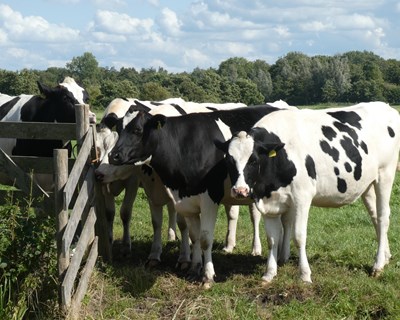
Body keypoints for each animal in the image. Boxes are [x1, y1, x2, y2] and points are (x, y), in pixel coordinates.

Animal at [108, 104, 284, 286]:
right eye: (118, 129)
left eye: (137, 130)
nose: (113, 156)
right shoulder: (186, 199)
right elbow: (194, 236)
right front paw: (194, 268)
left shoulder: (209, 199)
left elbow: (205, 238)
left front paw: (208, 275)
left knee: (259, 217)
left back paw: (258, 250)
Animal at [217, 102, 400, 282]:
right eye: (229, 160)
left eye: (253, 160)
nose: (240, 190)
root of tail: (385, 106)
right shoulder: (269, 202)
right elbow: (272, 239)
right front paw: (269, 273)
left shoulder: (302, 197)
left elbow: (299, 236)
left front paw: (305, 275)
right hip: (367, 184)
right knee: (375, 216)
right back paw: (385, 257)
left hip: (385, 174)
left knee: (383, 217)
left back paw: (378, 266)